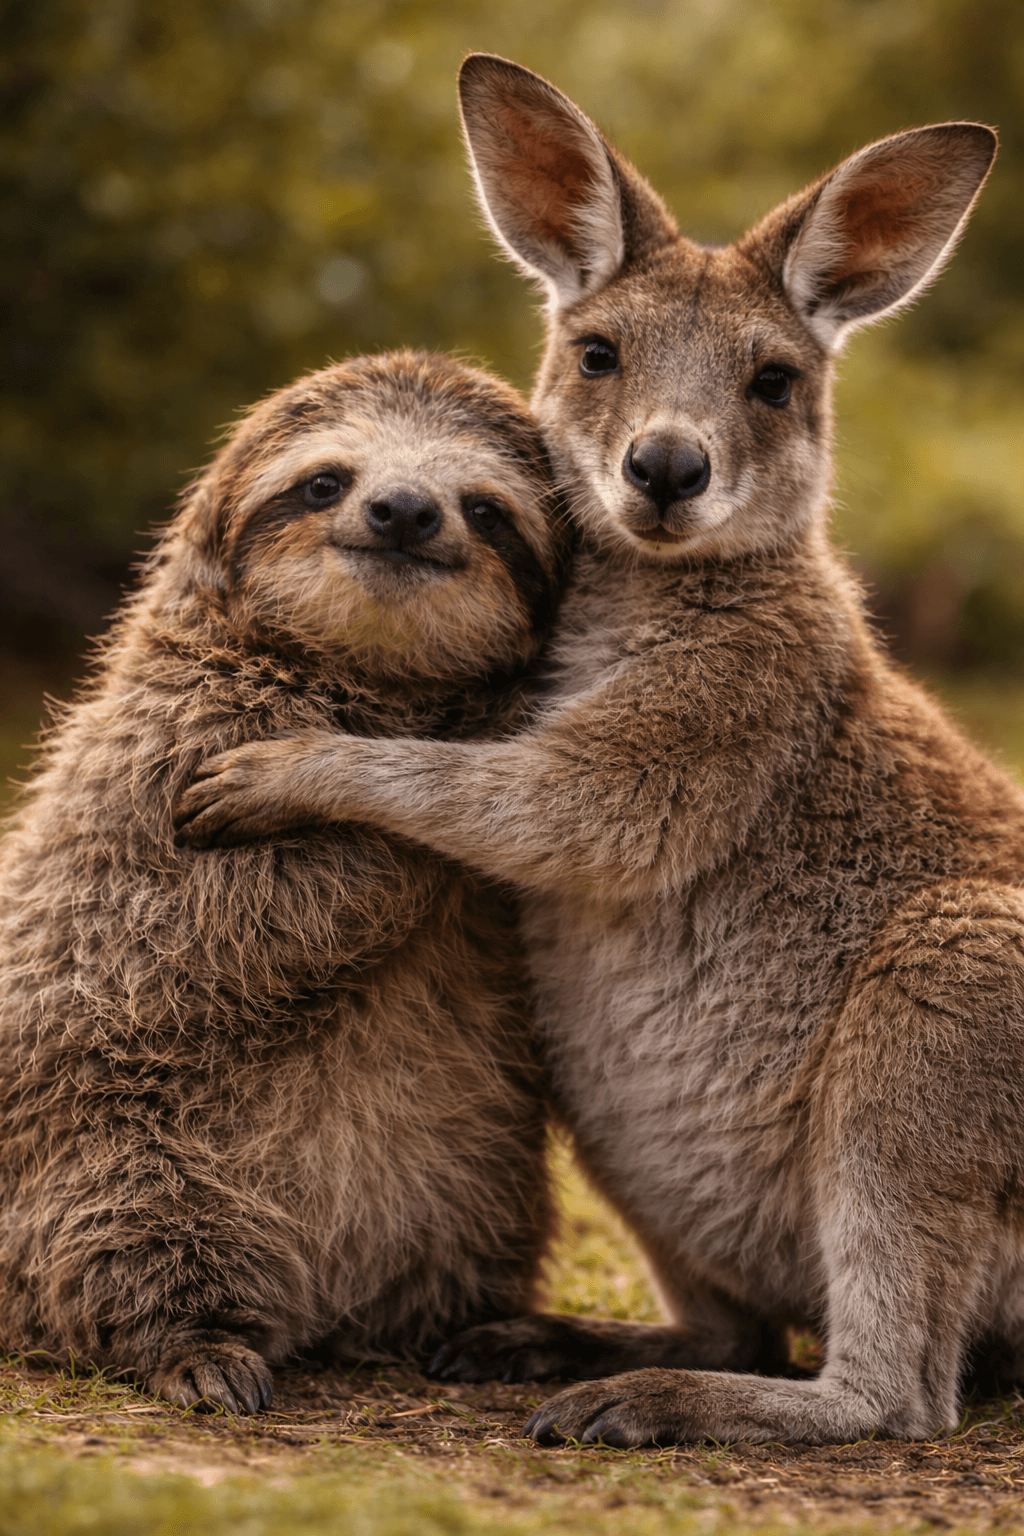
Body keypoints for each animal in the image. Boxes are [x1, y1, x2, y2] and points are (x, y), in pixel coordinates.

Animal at [0, 350, 569, 1413]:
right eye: (325, 483)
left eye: (484, 510)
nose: (402, 512)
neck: (366, 688)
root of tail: (337, 1311)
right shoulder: (171, 747)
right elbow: (244, 907)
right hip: (102, 1146)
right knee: (126, 1226)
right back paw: (198, 1345)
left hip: (479, 1195)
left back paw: (479, 1331)